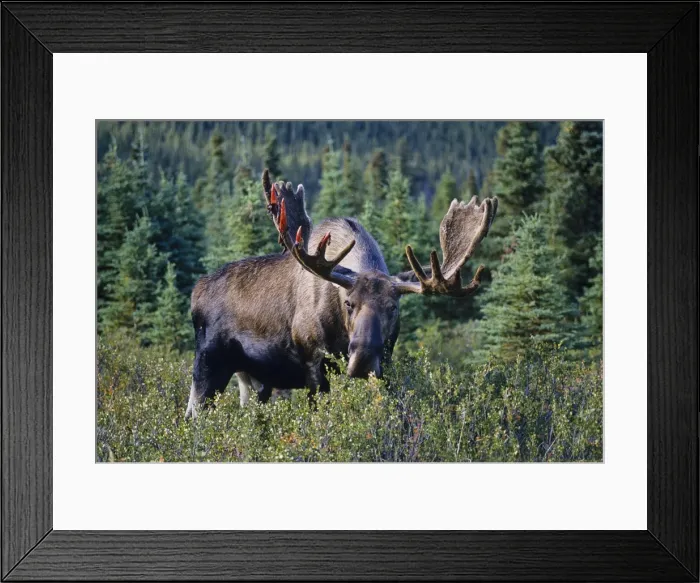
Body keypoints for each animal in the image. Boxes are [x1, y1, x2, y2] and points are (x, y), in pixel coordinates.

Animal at [185, 169, 498, 419]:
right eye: (348, 303)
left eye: (393, 307)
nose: (362, 360)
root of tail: (196, 292)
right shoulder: (313, 364)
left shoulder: (386, 364)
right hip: (209, 364)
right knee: (192, 415)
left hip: (252, 378)